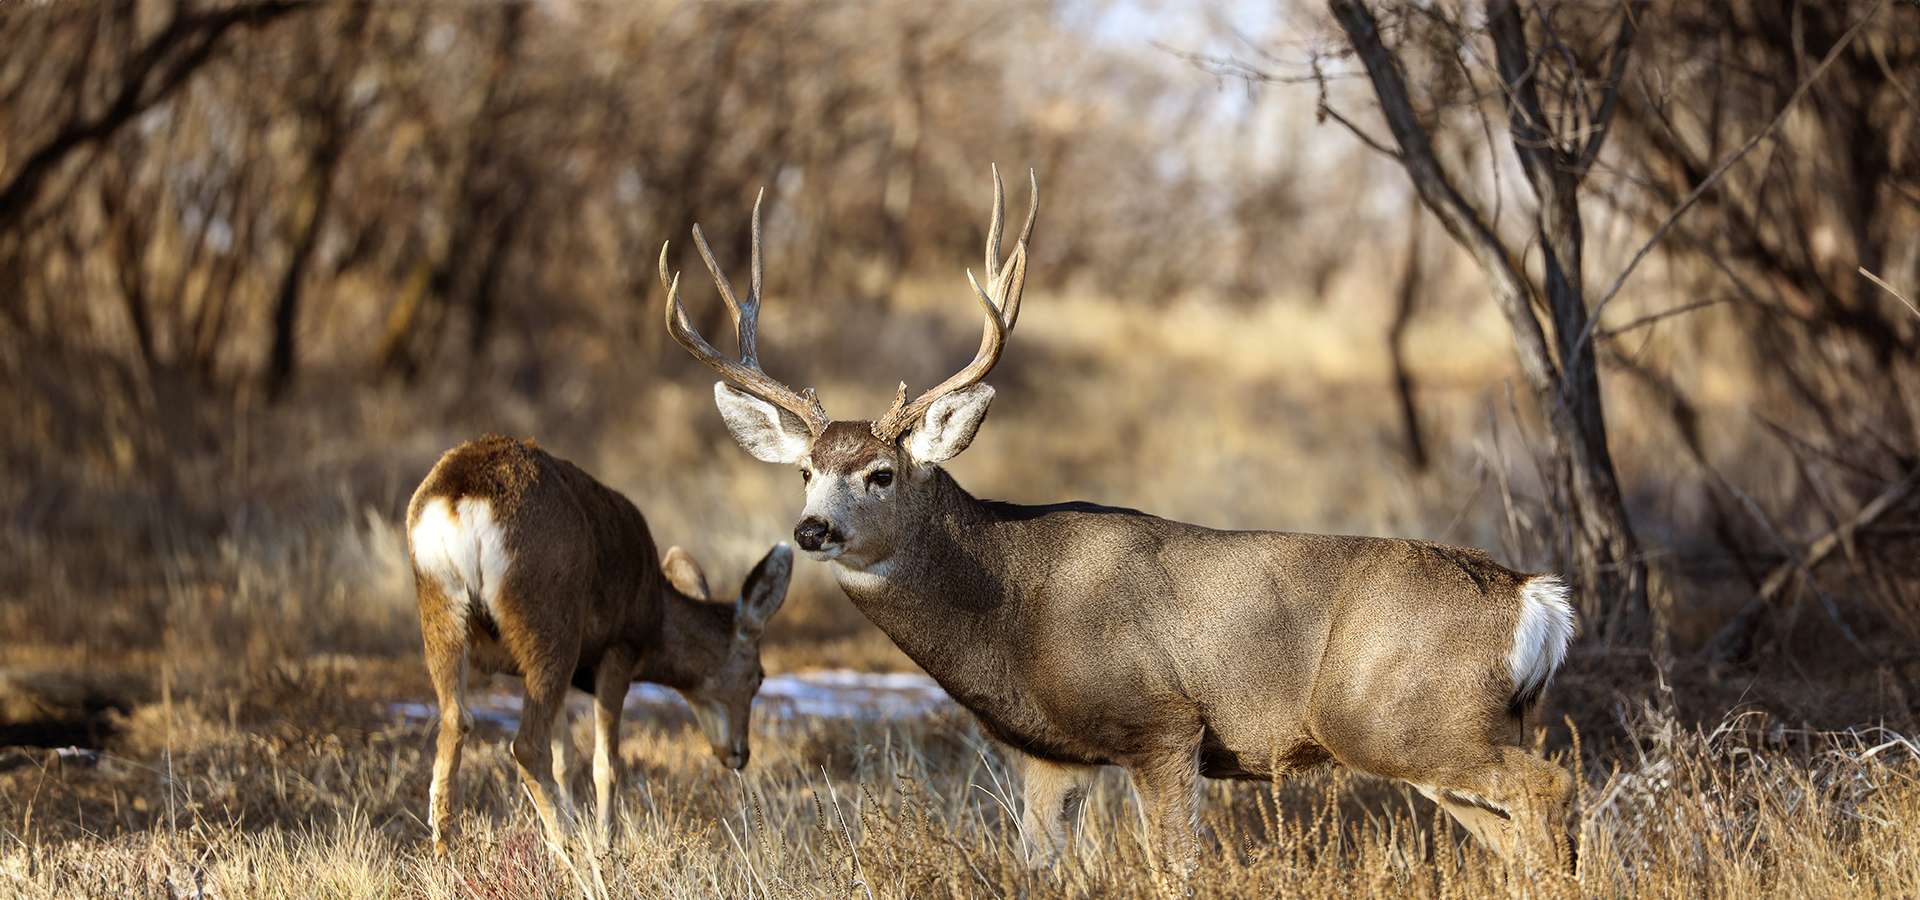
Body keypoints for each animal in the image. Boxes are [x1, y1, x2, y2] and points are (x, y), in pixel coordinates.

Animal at [405, 435, 794, 855]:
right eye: (759, 677)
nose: (739, 753)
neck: (657, 616)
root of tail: (460, 499)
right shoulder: (619, 649)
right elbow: (606, 762)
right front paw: (606, 842)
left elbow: (565, 758)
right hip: (549, 620)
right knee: (526, 745)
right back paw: (569, 851)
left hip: (442, 608)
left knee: (455, 721)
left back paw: (445, 851)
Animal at [656, 168, 1574, 871]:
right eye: (807, 471)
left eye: (881, 473)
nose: (812, 531)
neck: (1013, 612)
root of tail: (1534, 598)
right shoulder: (1051, 754)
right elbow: (1037, 868)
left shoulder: (1162, 722)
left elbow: (1177, 867)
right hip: (1439, 733)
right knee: (1514, 825)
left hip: (1401, 718)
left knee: (1548, 785)